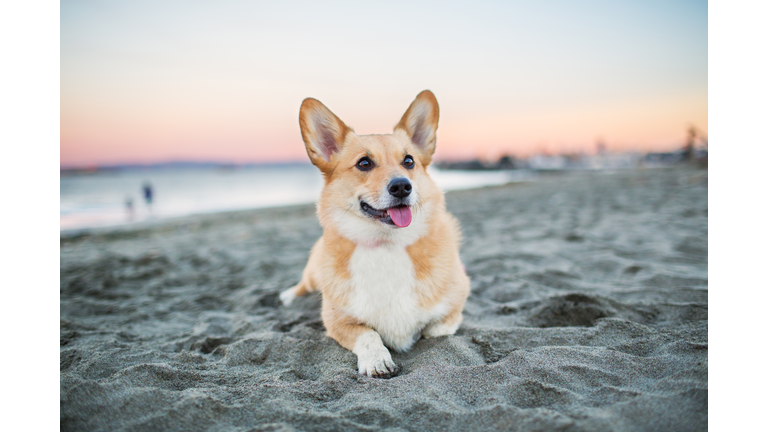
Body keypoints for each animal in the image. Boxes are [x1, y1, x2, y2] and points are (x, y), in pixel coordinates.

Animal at [280, 89, 468, 376]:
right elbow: (368, 334)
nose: (402, 186)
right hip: (313, 273)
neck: (386, 245)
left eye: (409, 161)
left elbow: (438, 331)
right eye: (364, 163)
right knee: (304, 283)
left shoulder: (454, 307)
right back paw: (289, 295)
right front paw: (377, 360)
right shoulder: (337, 320)